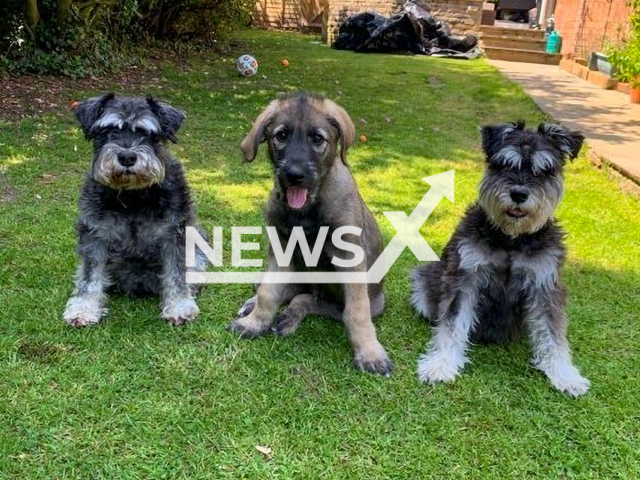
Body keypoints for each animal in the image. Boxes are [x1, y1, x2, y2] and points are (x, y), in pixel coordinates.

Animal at [229, 91, 390, 376]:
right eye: (281, 135)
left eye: (317, 139)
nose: (295, 175)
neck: (307, 209)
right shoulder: (281, 248)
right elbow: (269, 292)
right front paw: (254, 322)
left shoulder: (351, 259)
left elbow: (356, 311)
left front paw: (370, 353)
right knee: (284, 290)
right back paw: (255, 306)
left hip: (370, 301)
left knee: (308, 300)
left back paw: (289, 316)